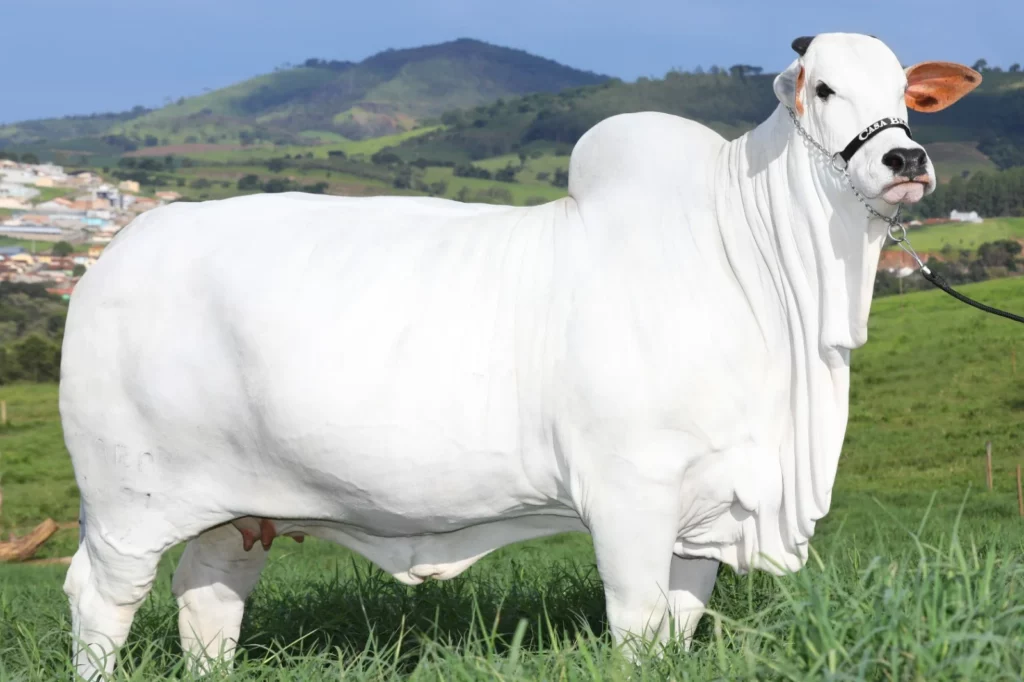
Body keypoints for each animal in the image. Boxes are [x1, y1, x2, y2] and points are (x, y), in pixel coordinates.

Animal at [59, 32, 980, 678]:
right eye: (823, 87)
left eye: (907, 96)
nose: (905, 158)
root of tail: (116, 253)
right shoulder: (629, 496)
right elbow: (638, 628)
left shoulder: (704, 513)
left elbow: (677, 630)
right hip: (128, 503)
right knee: (99, 601)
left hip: (237, 511)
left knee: (207, 599)